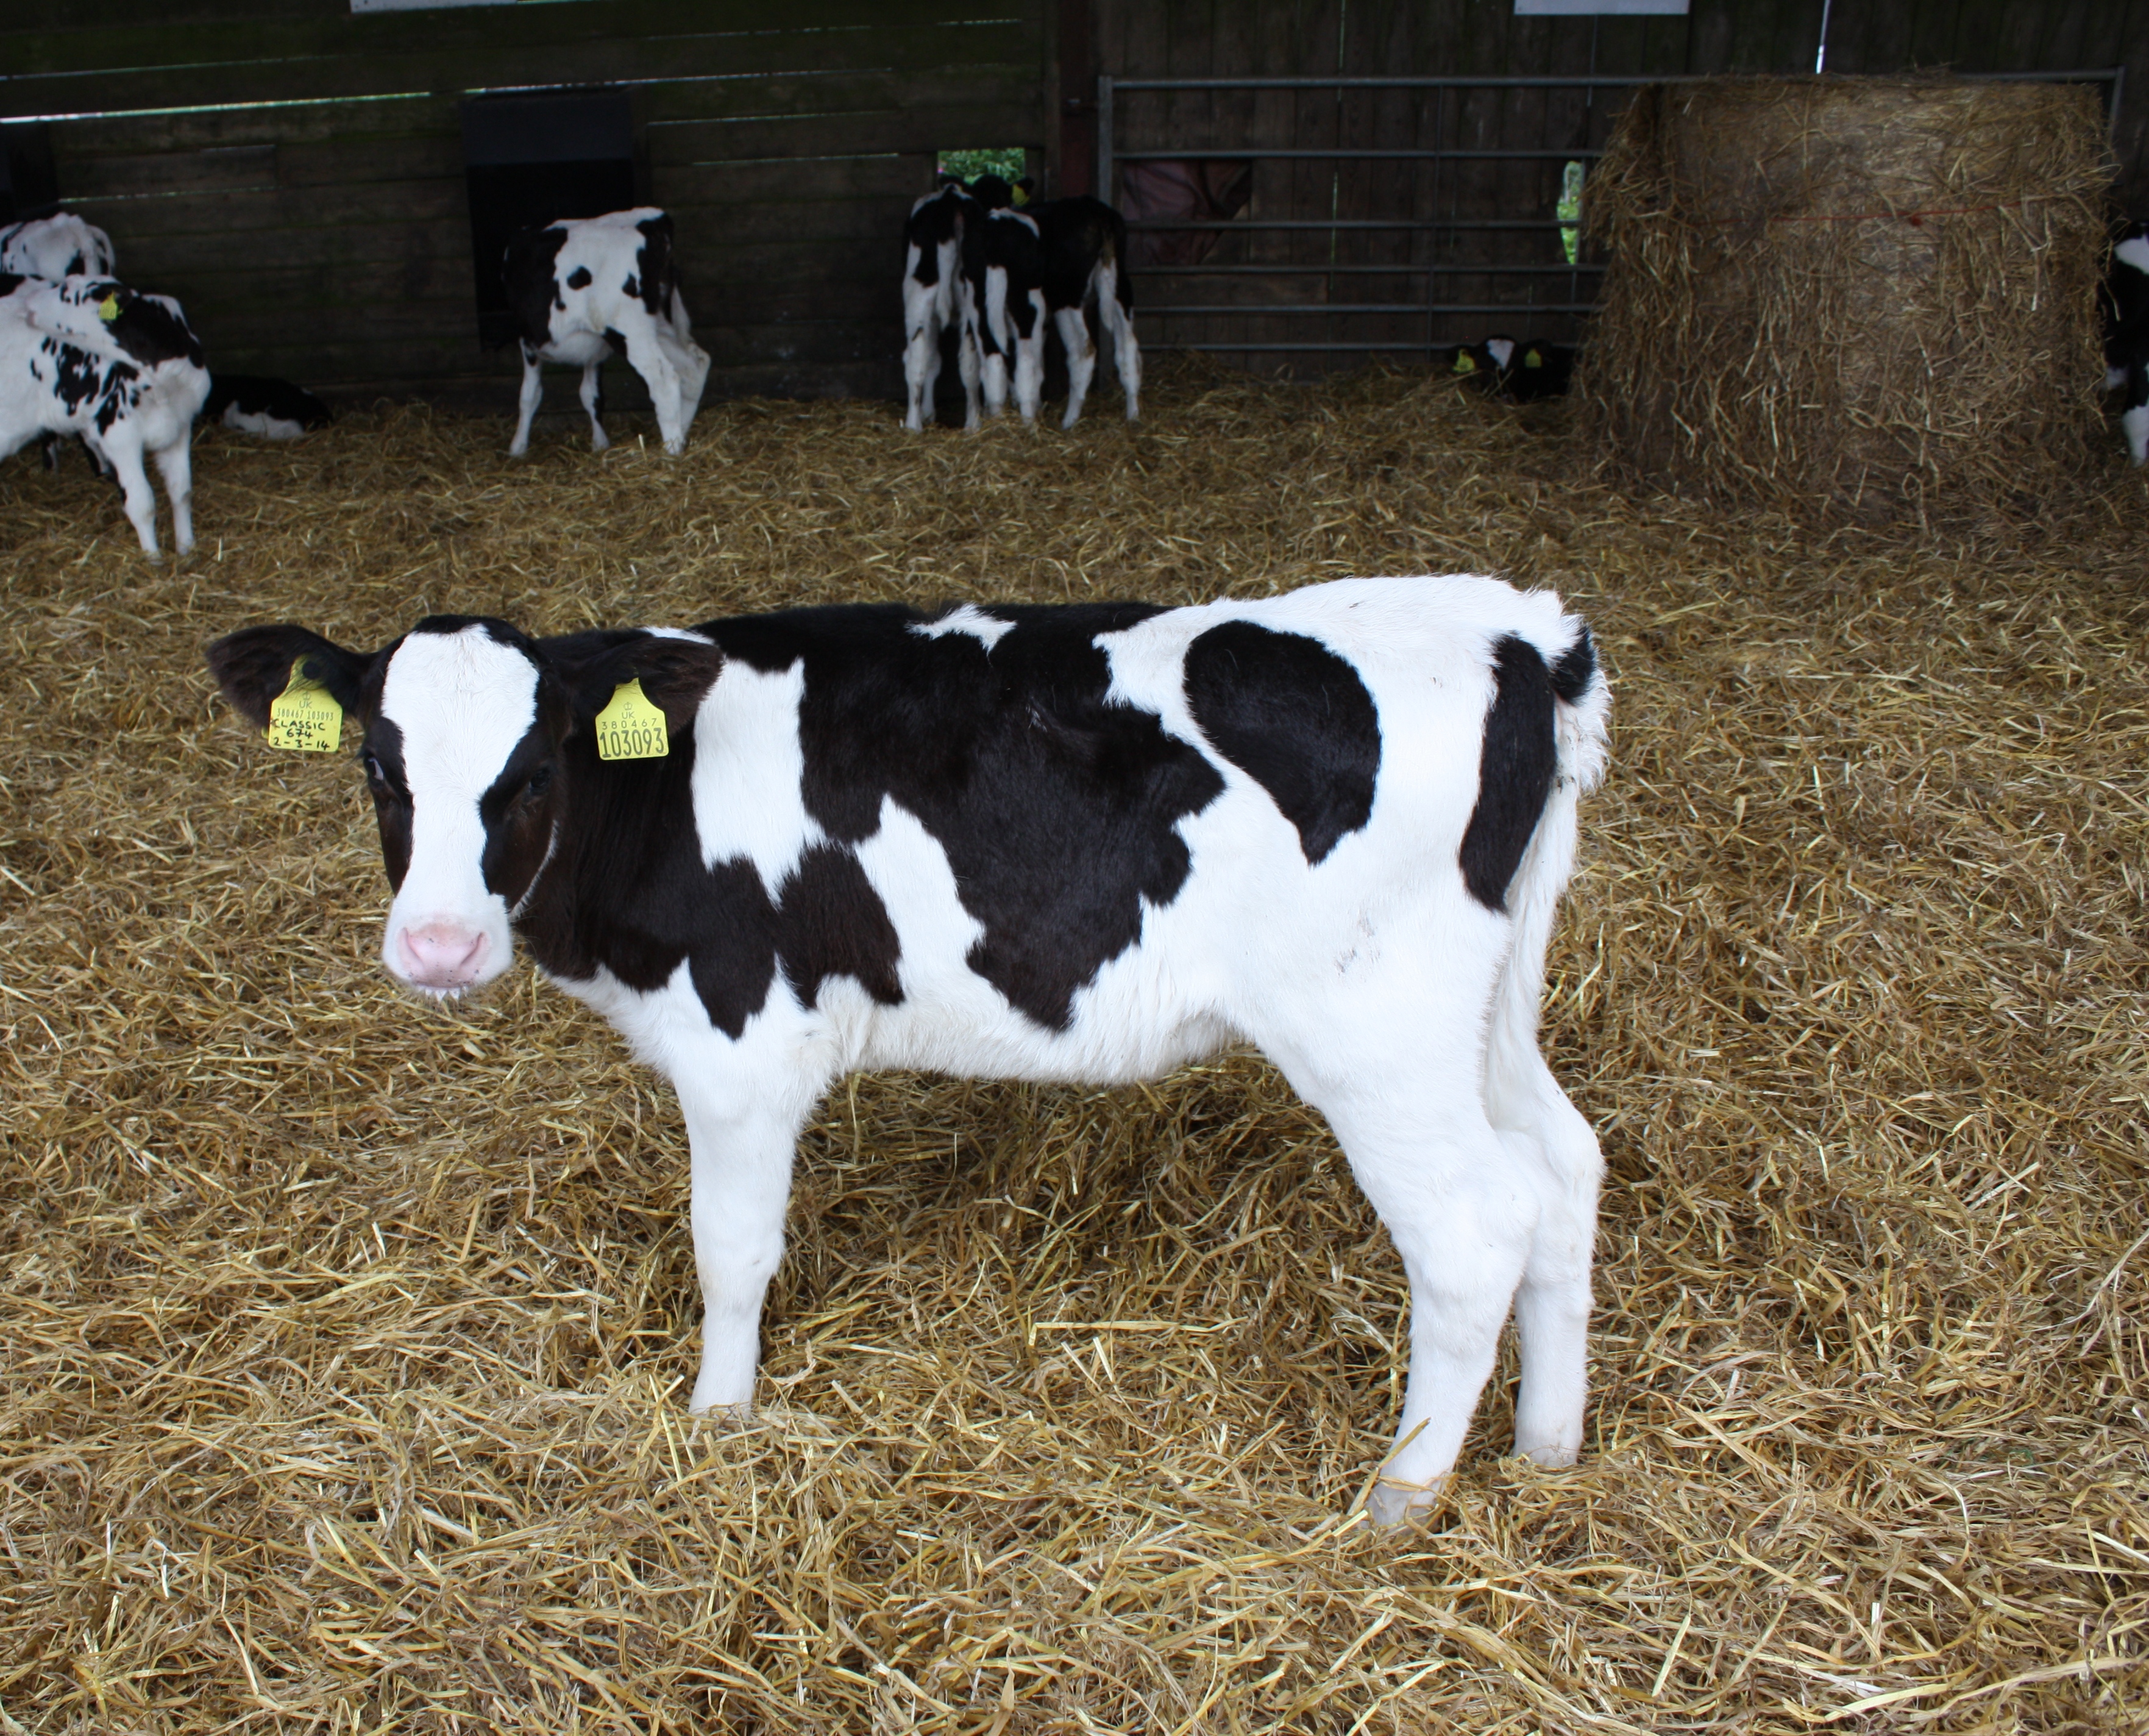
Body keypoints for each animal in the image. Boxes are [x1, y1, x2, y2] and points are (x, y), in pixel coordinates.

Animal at [205, 575, 1616, 1529]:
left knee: (1476, 1224)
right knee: (1562, 1167)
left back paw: (1404, 1487)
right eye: (379, 766)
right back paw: (1545, 1442)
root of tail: (1510, 626)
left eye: (534, 768)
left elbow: (730, 1250)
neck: (662, 800)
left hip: (1376, 1034)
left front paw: (719, 1416)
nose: (437, 944)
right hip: (1482, 1013)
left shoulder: (742, 1039)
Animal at [499, 205, 709, 453]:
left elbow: (529, 394)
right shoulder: (594, 348)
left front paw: (518, 448)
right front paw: (600, 444)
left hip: (629, 329)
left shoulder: (529, 341)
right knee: (695, 367)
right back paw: (682, 439)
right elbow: (591, 393)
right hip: (661, 326)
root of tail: (652, 219)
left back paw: (672, 452)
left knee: (663, 380)